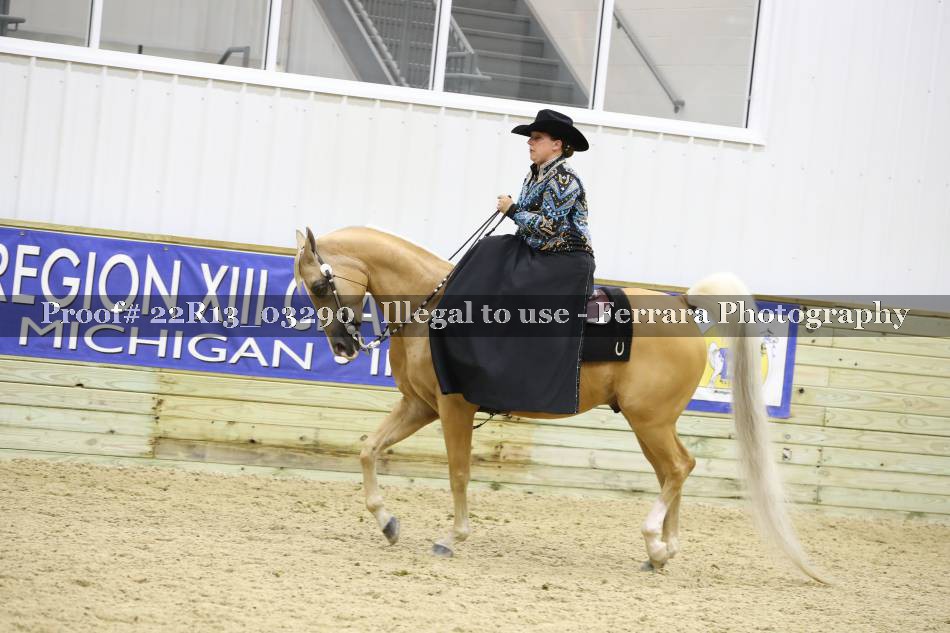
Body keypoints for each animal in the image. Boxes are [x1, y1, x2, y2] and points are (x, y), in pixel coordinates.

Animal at [293, 225, 822, 581]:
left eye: (318, 285)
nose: (342, 347)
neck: (432, 305)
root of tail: (685, 308)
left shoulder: (453, 408)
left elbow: (459, 472)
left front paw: (451, 537)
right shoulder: (419, 405)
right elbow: (369, 448)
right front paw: (387, 523)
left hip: (649, 421)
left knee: (677, 469)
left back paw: (655, 543)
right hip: (651, 423)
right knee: (675, 470)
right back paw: (662, 552)